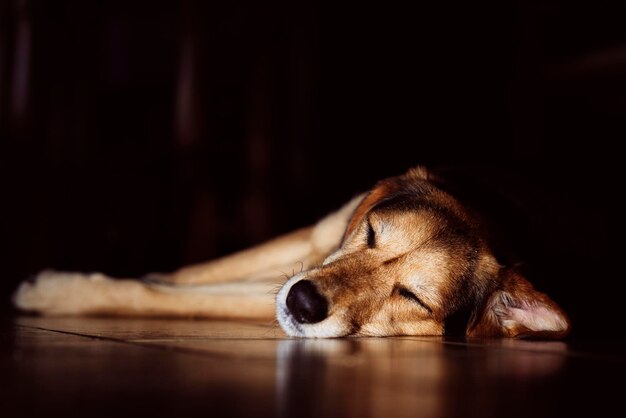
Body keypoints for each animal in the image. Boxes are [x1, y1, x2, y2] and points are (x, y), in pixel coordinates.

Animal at [14, 165, 572, 338]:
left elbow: (174, 298)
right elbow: (196, 270)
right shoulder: (315, 239)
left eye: (413, 298)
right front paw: (151, 272)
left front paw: (59, 292)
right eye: (371, 232)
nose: (301, 303)